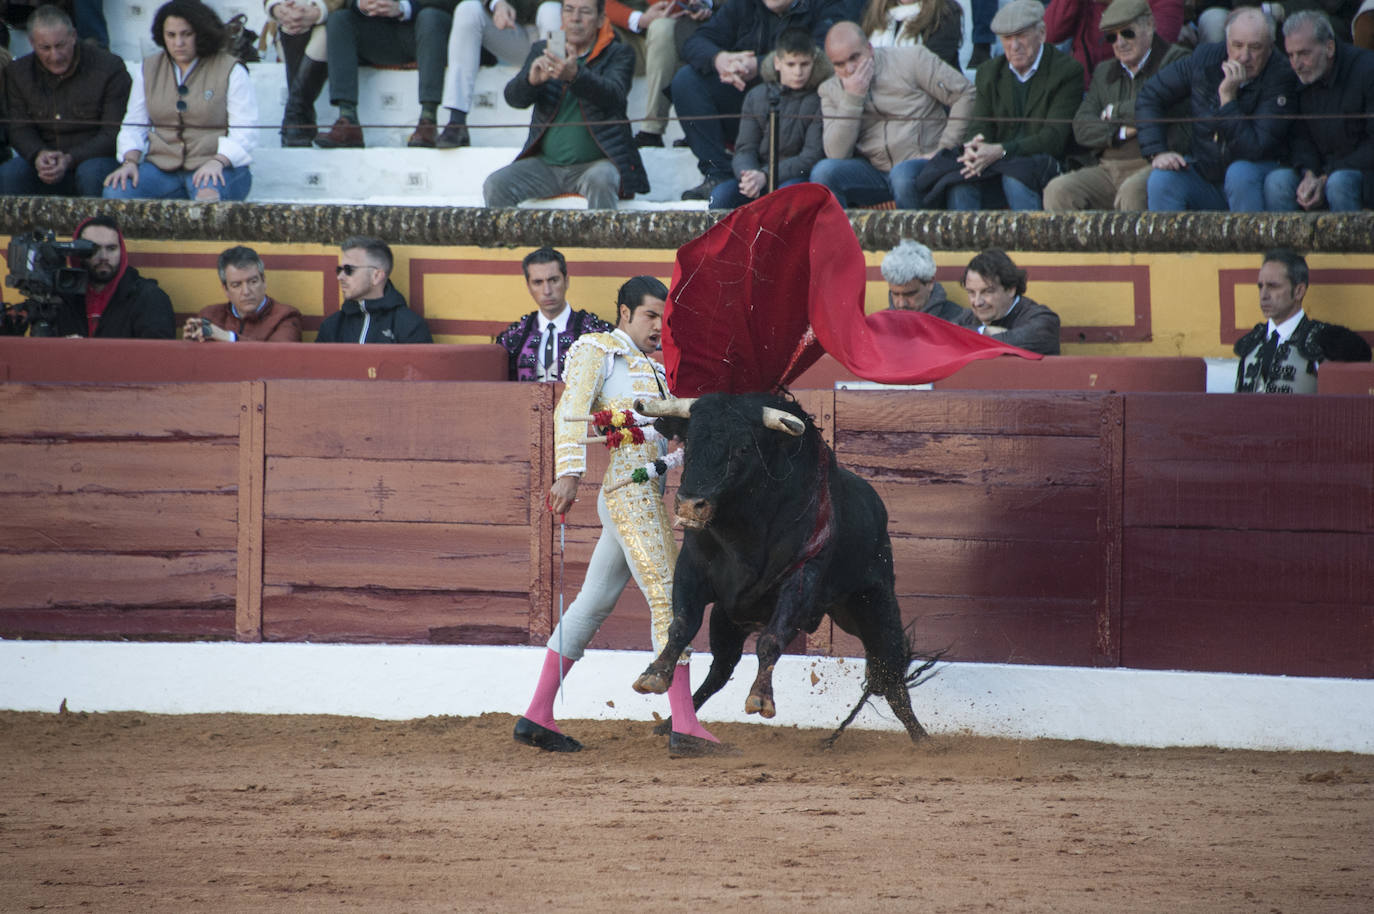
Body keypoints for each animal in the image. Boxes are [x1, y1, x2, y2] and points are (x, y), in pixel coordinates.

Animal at [629, 393, 934, 742]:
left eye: (743, 448)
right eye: (689, 439)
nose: (690, 505)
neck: (742, 531)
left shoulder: (800, 579)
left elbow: (771, 640)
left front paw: (761, 698)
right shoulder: (692, 570)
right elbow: (681, 624)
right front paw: (654, 674)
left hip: (875, 606)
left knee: (892, 674)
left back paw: (924, 742)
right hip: (731, 618)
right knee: (721, 669)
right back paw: (670, 725)